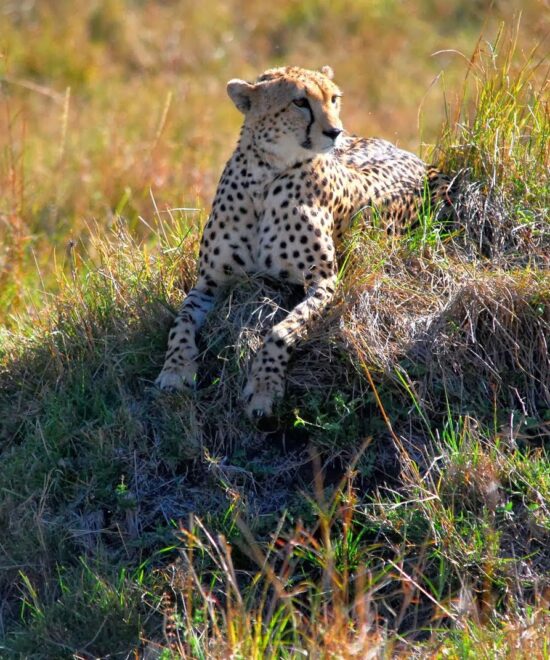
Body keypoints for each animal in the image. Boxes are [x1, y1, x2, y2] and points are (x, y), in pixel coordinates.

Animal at [155, 65, 452, 420]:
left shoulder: (322, 282)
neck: (265, 177)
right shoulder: (210, 282)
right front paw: (175, 369)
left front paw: (264, 387)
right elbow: (181, 322)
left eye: (334, 98)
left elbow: (282, 330)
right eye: (300, 102)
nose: (335, 131)